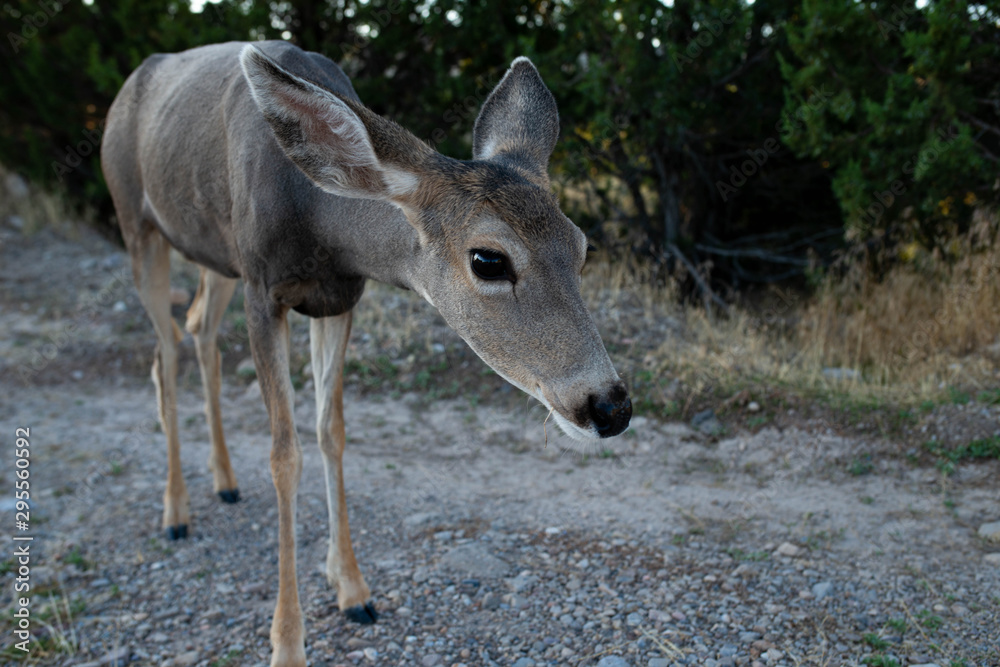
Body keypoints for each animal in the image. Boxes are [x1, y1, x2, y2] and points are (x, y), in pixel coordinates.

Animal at [100, 40, 631, 666]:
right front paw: (288, 643)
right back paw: (175, 513)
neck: (320, 216)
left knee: (199, 328)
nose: (610, 406)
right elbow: (284, 455)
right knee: (165, 350)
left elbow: (331, 431)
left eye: (581, 246)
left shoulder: (338, 298)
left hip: (213, 254)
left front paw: (352, 588)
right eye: (488, 259)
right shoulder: (263, 290)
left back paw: (224, 480)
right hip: (138, 225)